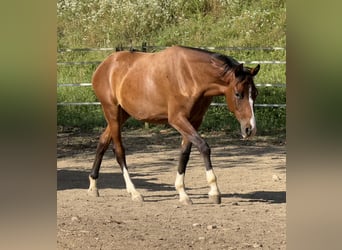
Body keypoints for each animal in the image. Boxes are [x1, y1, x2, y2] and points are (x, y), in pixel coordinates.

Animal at [87, 46, 260, 204]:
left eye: (255, 94)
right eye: (238, 94)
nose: (250, 129)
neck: (191, 77)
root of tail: (104, 65)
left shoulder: (194, 121)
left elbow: (185, 154)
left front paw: (182, 193)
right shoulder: (178, 119)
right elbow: (204, 147)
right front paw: (214, 191)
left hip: (121, 115)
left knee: (102, 142)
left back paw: (93, 186)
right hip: (112, 112)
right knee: (119, 151)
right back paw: (134, 192)